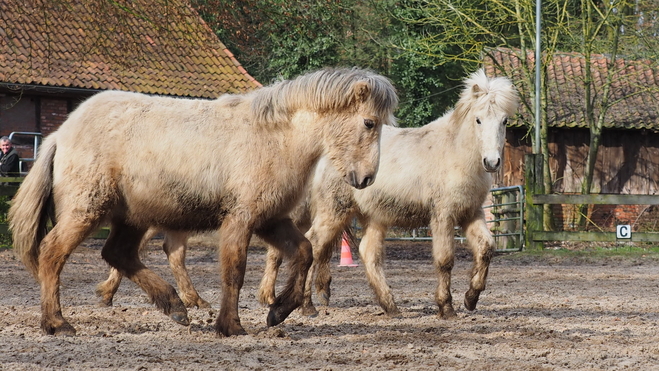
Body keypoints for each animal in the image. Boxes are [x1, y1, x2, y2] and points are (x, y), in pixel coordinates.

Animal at [9, 67, 398, 338]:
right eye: (369, 122)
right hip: (86, 210)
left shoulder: (270, 219)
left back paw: (174, 306)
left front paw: (277, 311)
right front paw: (231, 326)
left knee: (118, 254)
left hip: (131, 217)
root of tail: (60, 134)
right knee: (52, 254)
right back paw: (57, 322)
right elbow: (234, 270)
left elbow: (303, 252)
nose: (366, 178)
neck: (274, 138)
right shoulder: (241, 219)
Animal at [260, 70, 520, 320]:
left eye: (504, 120)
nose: (492, 162)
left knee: (367, 254)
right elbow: (445, 261)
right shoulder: (443, 217)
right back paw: (305, 306)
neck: (455, 154)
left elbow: (487, 249)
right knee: (311, 244)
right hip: (333, 212)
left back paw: (390, 306)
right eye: (478, 119)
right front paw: (446, 308)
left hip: (372, 218)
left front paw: (471, 298)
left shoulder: (471, 213)